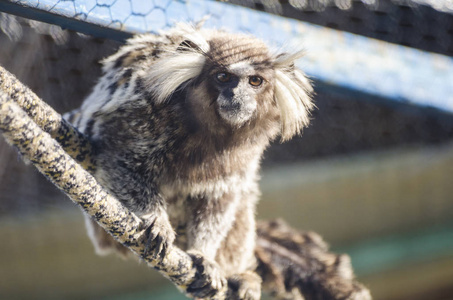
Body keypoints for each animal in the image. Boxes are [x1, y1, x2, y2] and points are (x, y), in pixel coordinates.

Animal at [65, 24, 312, 300]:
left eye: (255, 81)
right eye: (223, 77)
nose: (237, 95)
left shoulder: (246, 152)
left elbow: (222, 198)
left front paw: (204, 254)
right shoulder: (143, 109)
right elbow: (121, 162)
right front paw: (156, 220)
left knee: (242, 202)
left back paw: (242, 276)